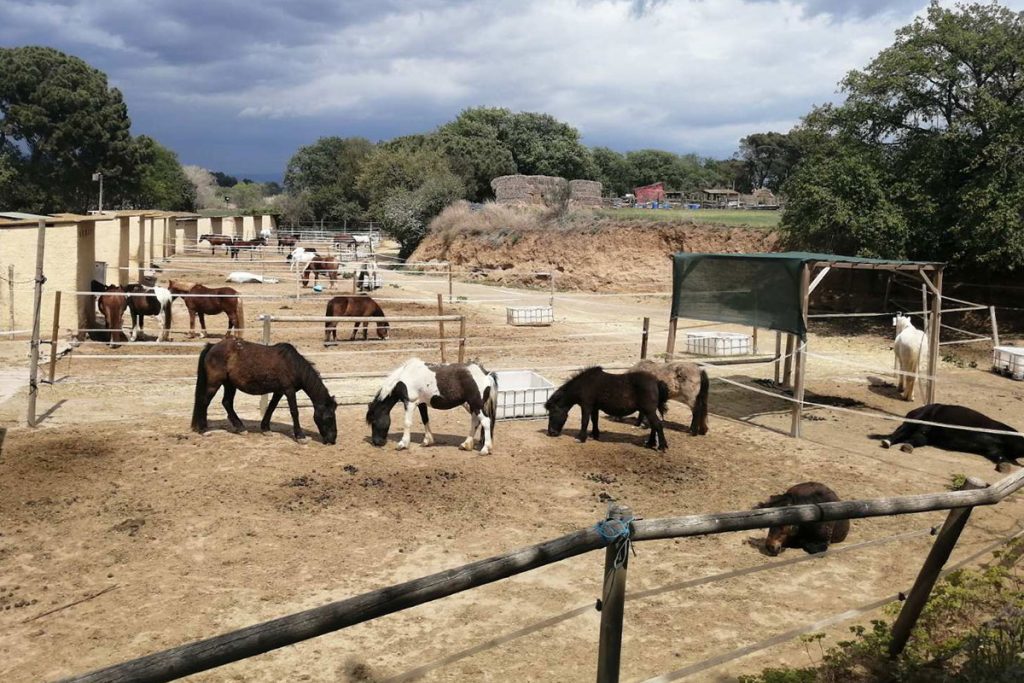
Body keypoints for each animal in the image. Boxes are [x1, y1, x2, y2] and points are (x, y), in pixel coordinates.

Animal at [191, 338, 337, 444]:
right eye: (330, 417)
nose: (333, 439)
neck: (293, 365)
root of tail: (212, 346)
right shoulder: (289, 390)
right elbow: (294, 412)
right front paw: (300, 436)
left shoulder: (279, 391)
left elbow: (271, 408)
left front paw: (266, 428)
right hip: (214, 384)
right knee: (204, 402)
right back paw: (204, 430)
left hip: (230, 385)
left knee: (226, 403)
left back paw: (240, 428)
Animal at [366, 358, 497, 454]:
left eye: (374, 421)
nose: (376, 442)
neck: (405, 376)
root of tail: (485, 374)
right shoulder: (421, 403)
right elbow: (425, 420)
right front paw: (427, 441)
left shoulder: (410, 402)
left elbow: (407, 423)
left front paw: (403, 444)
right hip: (473, 405)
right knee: (475, 422)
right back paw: (466, 444)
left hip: (476, 404)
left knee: (485, 422)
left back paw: (485, 449)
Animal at [871, 403, 1024, 471]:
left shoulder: (992, 450)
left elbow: (1001, 458)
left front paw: (1004, 466)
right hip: (917, 421)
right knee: (899, 433)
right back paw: (887, 442)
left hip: (923, 434)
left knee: (910, 439)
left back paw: (905, 446)